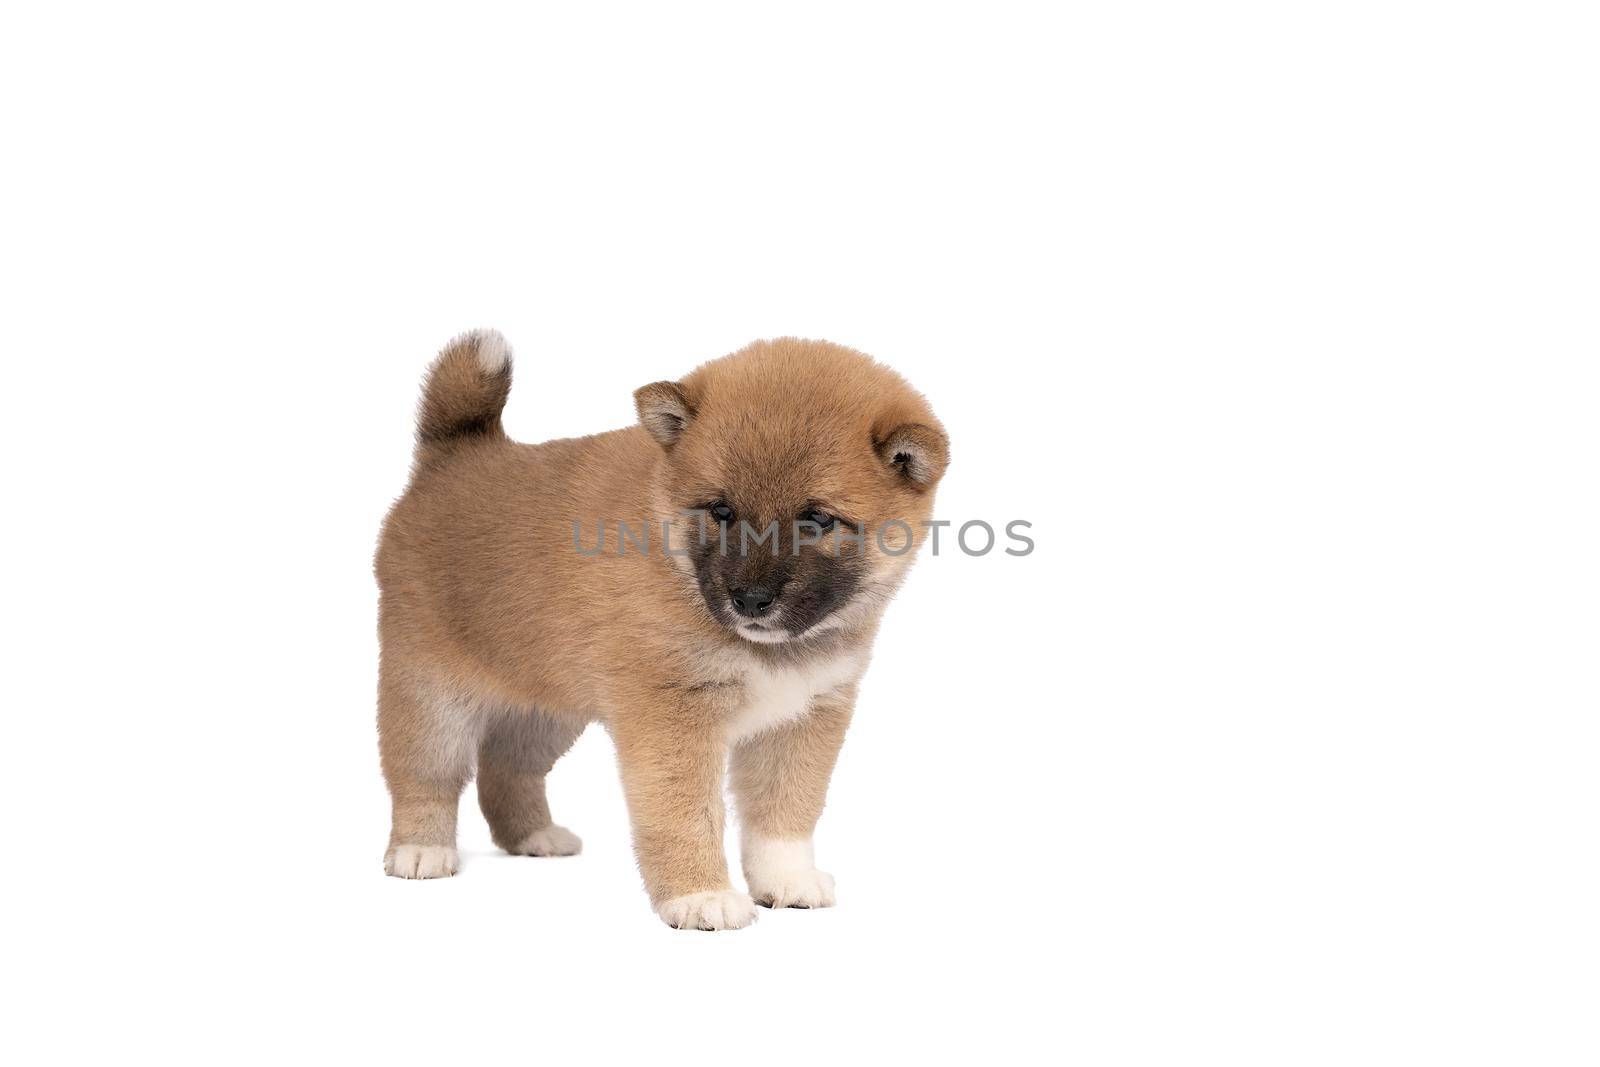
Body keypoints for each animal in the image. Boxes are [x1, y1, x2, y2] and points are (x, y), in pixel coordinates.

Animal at [374, 329, 947, 927]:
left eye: (817, 519)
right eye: (720, 510)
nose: (750, 600)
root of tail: (453, 457)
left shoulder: (805, 716)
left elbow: (785, 813)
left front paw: (786, 879)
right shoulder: (672, 716)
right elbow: (685, 815)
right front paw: (700, 896)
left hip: (547, 710)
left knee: (504, 769)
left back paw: (536, 837)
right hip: (430, 695)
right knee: (425, 776)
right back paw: (421, 849)